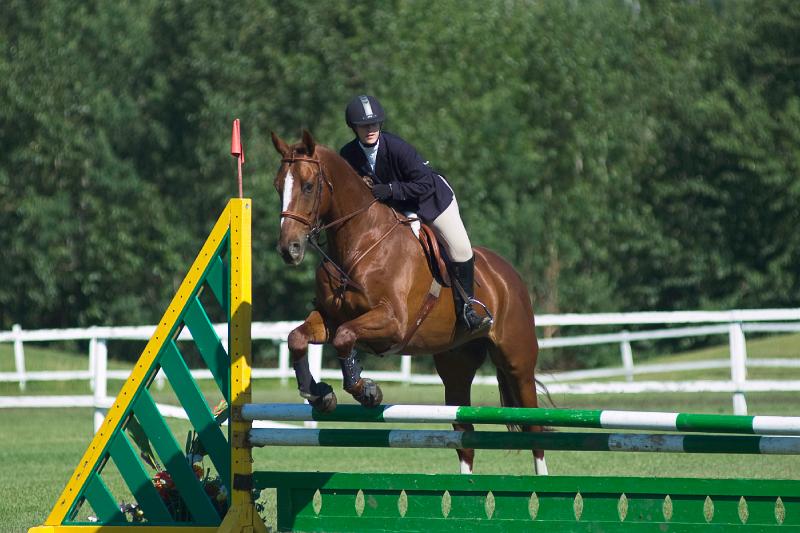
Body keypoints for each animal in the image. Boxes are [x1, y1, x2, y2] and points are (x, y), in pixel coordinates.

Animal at [272, 130, 548, 474]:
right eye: (278, 186)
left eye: (309, 186)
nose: (289, 249)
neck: (359, 244)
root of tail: (508, 274)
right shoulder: (329, 317)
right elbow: (298, 338)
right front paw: (319, 393)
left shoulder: (393, 322)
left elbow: (345, 337)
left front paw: (366, 390)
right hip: (455, 364)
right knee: (464, 433)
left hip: (517, 361)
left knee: (534, 426)